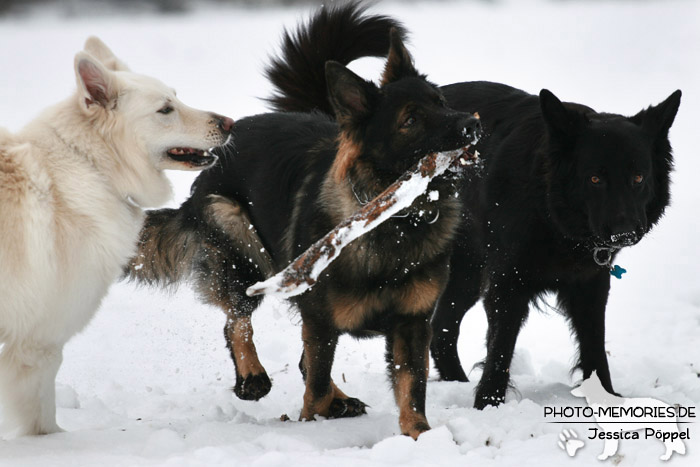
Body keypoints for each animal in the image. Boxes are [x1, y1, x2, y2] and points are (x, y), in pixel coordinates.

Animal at [0, 36, 235, 438]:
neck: (90, 166)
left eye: (176, 96)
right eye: (165, 109)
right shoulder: (39, 342)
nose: (230, 123)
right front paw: (53, 444)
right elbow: (42, 416)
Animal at [127, 3, 482, 438]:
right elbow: (316, 385)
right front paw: (310, 427)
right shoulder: (320, 321)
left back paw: (340, 402)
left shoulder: (412, 324)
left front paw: (420, 436)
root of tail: (224, 143)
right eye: (411, 120)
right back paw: (253, 377)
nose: (472, 125)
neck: (394, 221)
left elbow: (410, 388)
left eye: (442, 101)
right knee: (237, 320)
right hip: (237, 237)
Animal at [292, 2, 680, 410]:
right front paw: (488, 405)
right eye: (594, 179)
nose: (626, 232)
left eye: (638, 178)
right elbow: (500, 350)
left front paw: (607, 400)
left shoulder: (589, 285)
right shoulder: (508, 284)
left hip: (464, 274)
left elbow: (594, 348)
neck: (550, 212)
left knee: (441, 329)